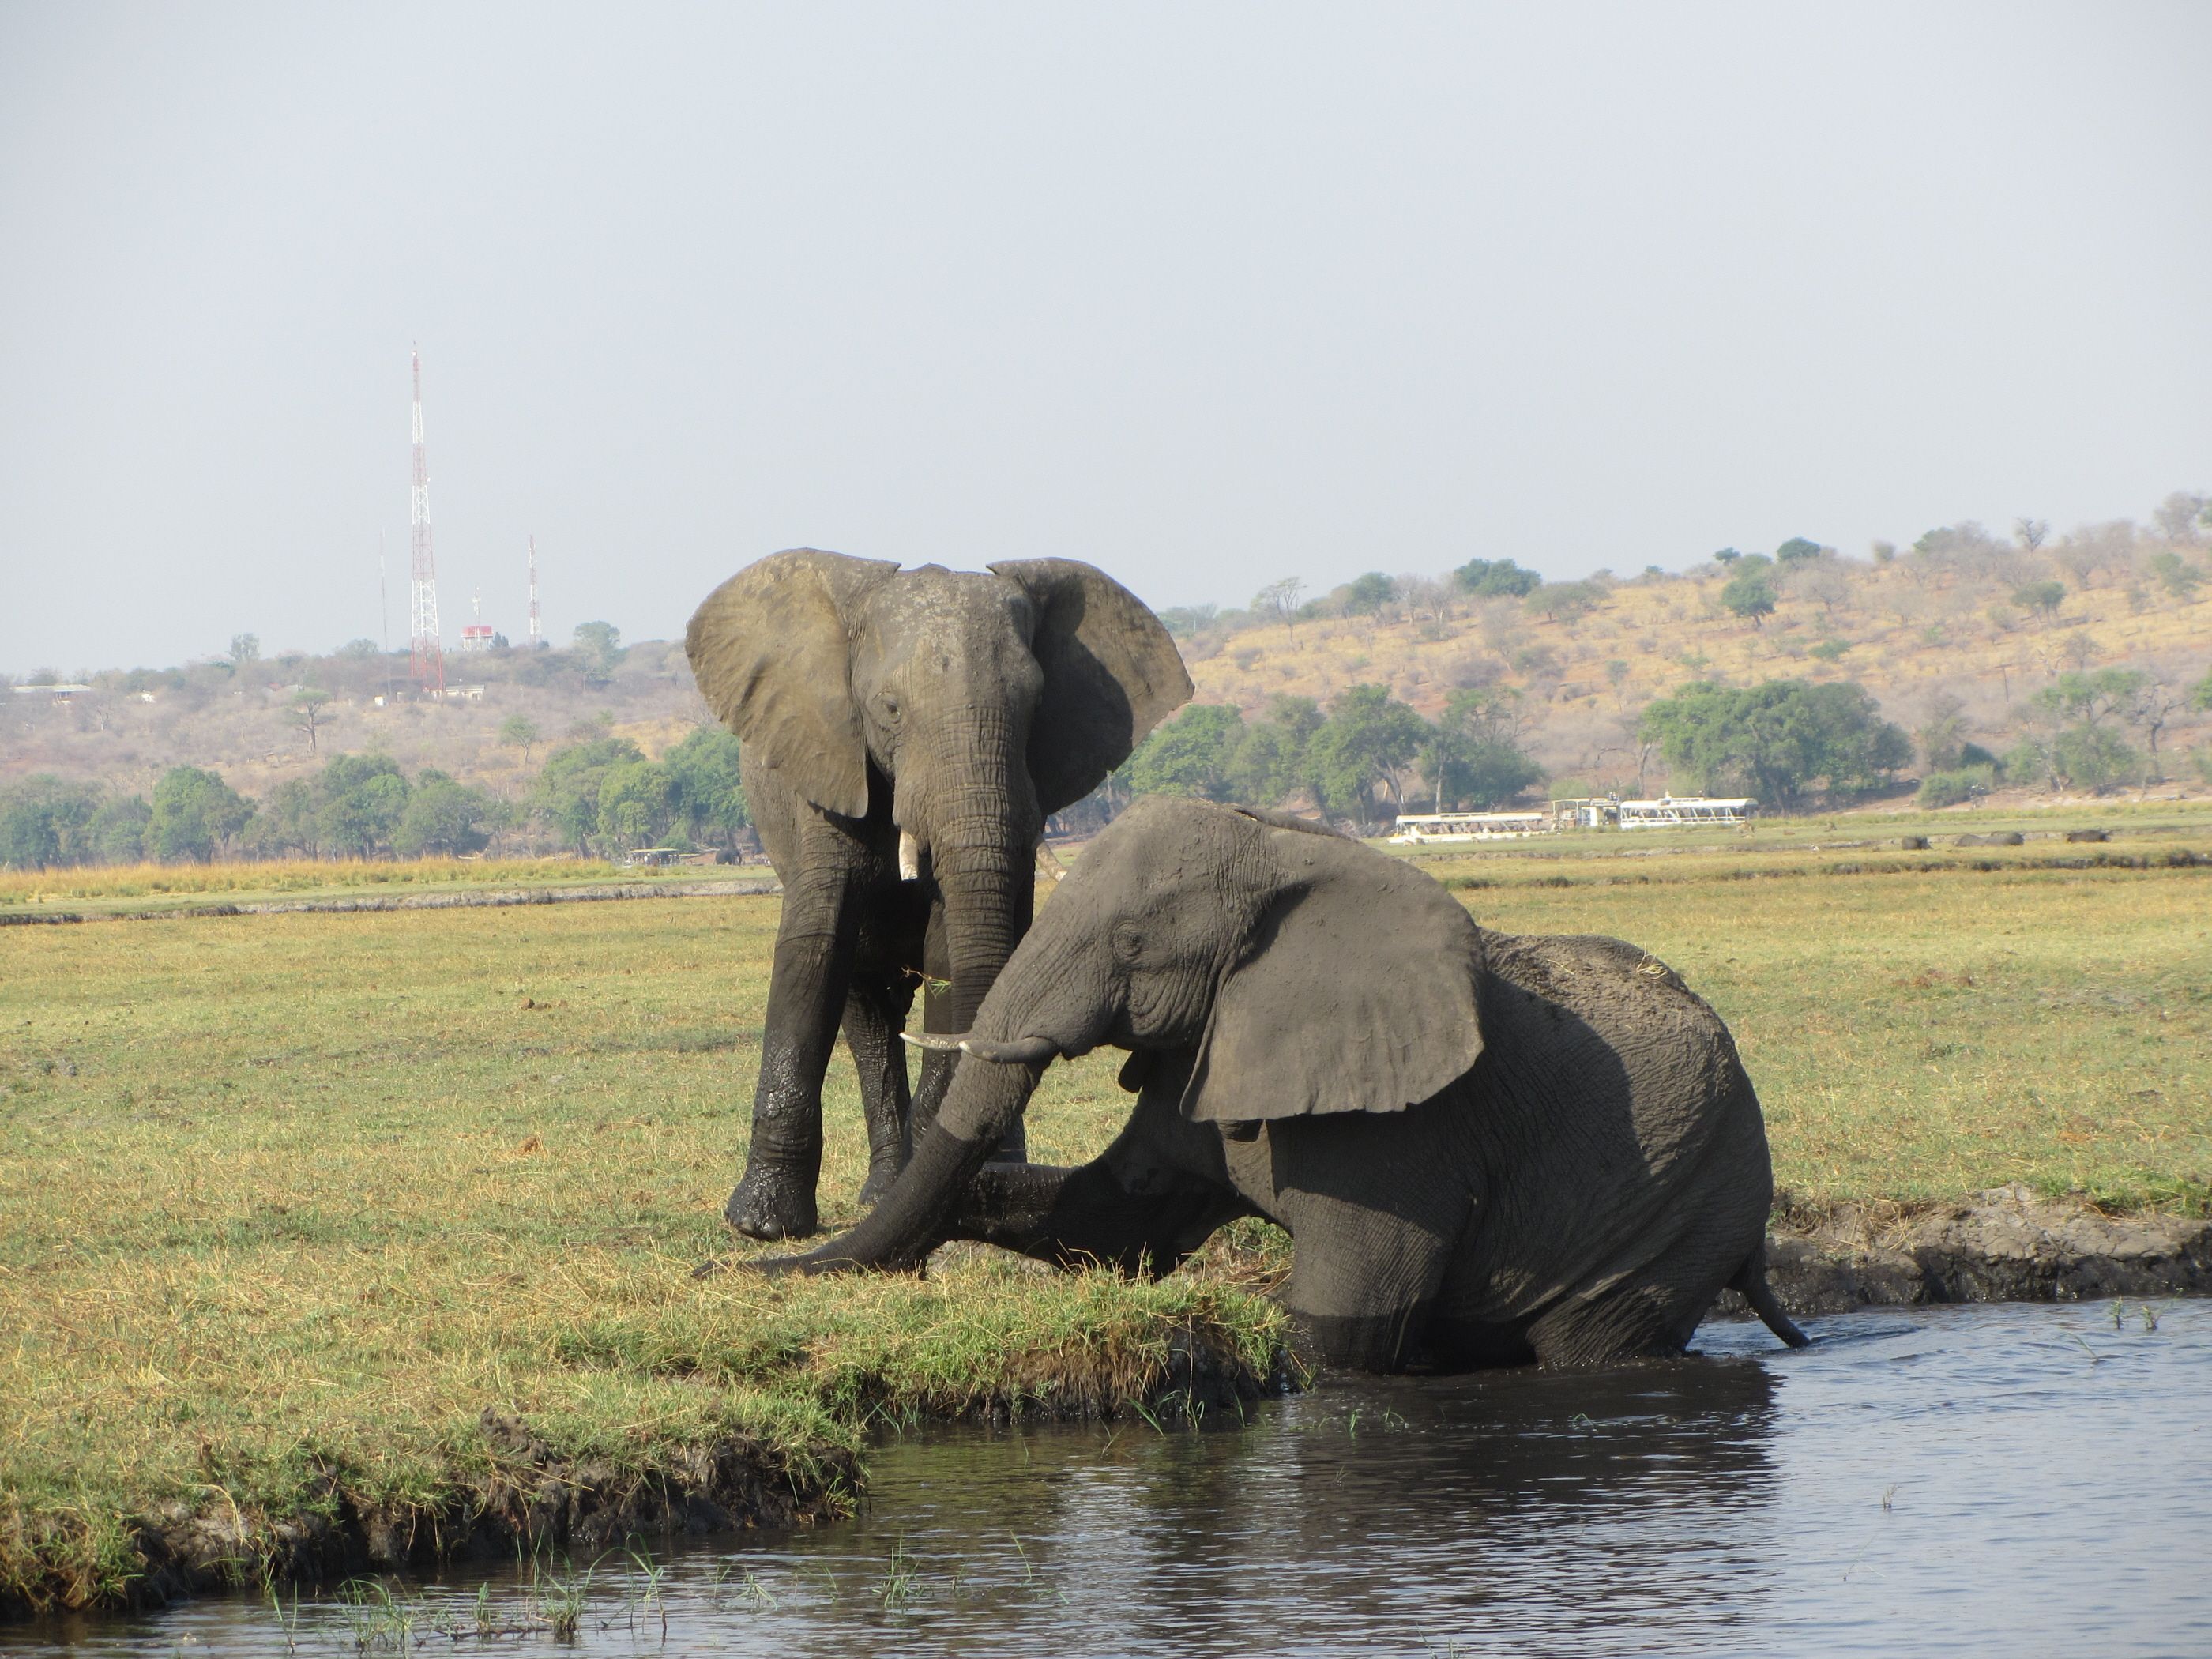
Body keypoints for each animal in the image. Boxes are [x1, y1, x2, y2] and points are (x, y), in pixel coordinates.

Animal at [685, 549, 1191, 1239]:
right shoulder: (823, 765)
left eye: (1036, 705)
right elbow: (816, 945)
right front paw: (761, 1225)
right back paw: (882, 1190)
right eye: (890, 709)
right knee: (866, 1010)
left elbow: (951, 947)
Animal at [744, 795, 1809, 1372]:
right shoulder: (1208, 1055)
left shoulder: (1403, 1130)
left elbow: (1344, 1326)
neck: (1287, 852)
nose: (746, 1272)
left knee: (1592, 1348)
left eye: (1132, 944)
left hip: (1682, 1209)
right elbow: (1114, 1223)